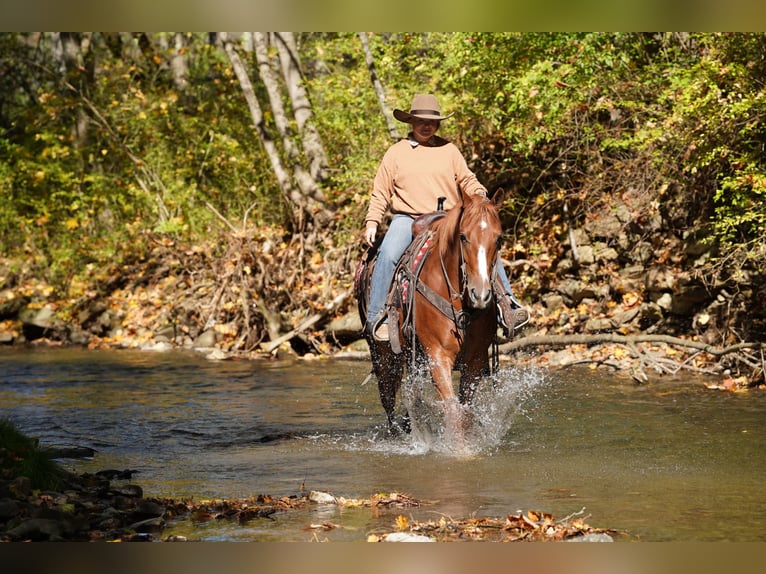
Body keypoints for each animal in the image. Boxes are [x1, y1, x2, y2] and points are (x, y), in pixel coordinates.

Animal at [355, 188, 507, 445]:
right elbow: (453, 412)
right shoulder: (438, 356)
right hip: (381, 352)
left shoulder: (475, 361)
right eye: (463, 237)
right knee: (387, 397)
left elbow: (465, 413)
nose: (481, 294)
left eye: (498, 239)